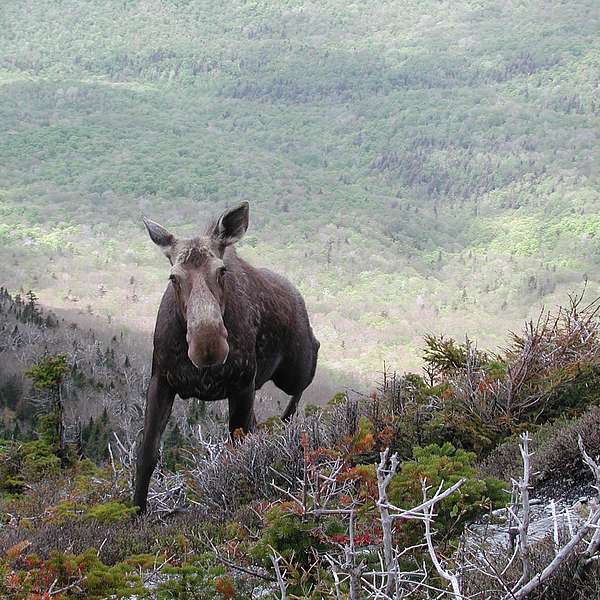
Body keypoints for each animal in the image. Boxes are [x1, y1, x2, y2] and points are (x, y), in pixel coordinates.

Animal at [132, 204, 318, 512]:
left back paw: (286, 422)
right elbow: (147, 454)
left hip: (293, 370)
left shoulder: (241, 383)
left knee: (310, 363)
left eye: (221, 271)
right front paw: (136, 510)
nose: (208, 346)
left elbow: (238, 450)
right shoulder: (161, 381)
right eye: (173, 277)